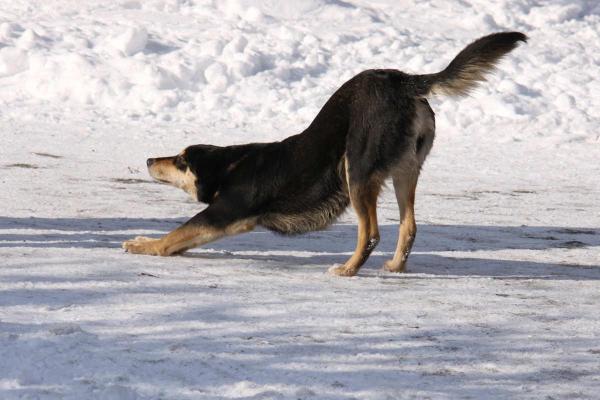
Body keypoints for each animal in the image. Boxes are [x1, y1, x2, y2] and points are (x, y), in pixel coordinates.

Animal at [122, 31, 524, 276]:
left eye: (181, 161)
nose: (148, 160)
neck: (232, 165)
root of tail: (404, 81)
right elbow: (177, 240)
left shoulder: (223, 214)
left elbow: (173, 237)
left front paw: (141, 244)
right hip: (405, 171)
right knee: (408, 226)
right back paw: (394, 267)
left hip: (356, 168)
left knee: (371, 233)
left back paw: (348, 269)